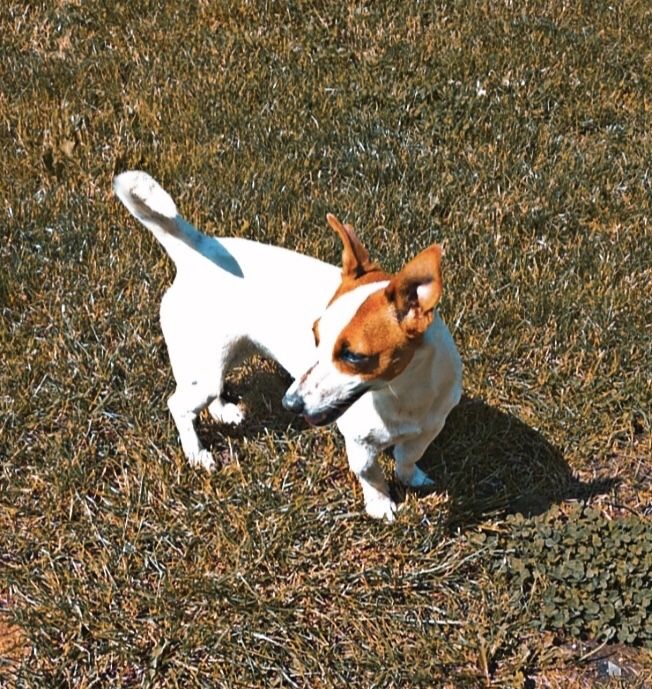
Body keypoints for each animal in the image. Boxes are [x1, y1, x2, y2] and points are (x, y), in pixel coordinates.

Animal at [112, 172, 460, 520]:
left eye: (353, 356)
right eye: (315, 336)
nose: (290, 404)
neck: (402, 394)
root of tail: (196, 249)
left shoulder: (430, 428)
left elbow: (407, 457)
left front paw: (411, 478)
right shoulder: (360, 446)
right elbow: (371, 476)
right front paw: (381, 506)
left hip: (224, 356)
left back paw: (223, 411)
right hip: (204, 365)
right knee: (179, 405)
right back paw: (197, 452)